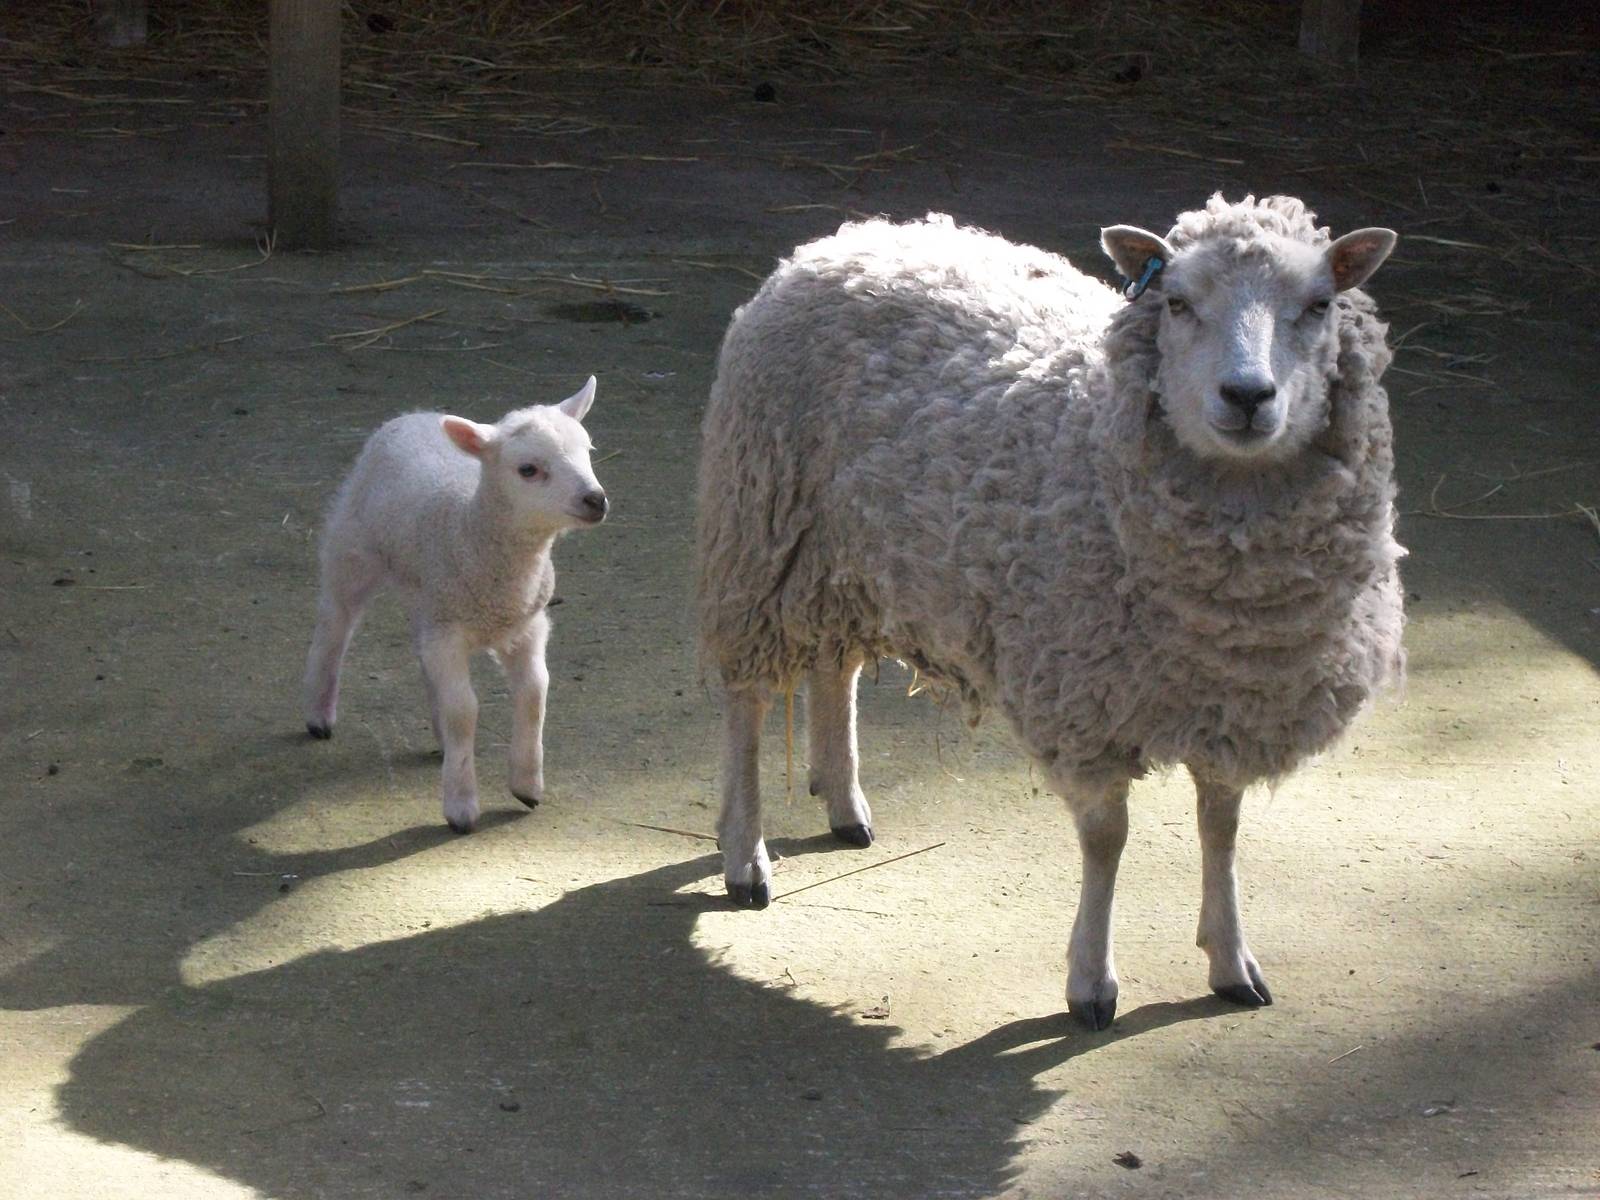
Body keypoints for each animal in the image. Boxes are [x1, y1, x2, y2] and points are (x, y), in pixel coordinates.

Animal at [303, 378, 609, 834]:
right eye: (528, 470)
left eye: (588, 450)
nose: (596, 500)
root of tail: (414, 415)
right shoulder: (448, 633)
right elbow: (465, 709)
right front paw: (461, 805)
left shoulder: (526, 624)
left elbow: (535, 692)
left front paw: (526, 783)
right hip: (353, 549)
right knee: (334, 626)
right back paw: (319, 713)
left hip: (427, 596)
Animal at [694, 195, 1403, 1029]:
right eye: (1177, 302)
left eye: (1320, 304)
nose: (1248, 396)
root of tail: (850, 237)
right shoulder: (1083, 703)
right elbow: (1107, 840)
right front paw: (1091, 983)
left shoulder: (1229, 700)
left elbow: (1222, 827)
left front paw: (1231, 961)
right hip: (762, 534)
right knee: (748, 699)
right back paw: (746, 857)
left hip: (854, 554)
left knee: (836, 670)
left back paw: (845, 804)